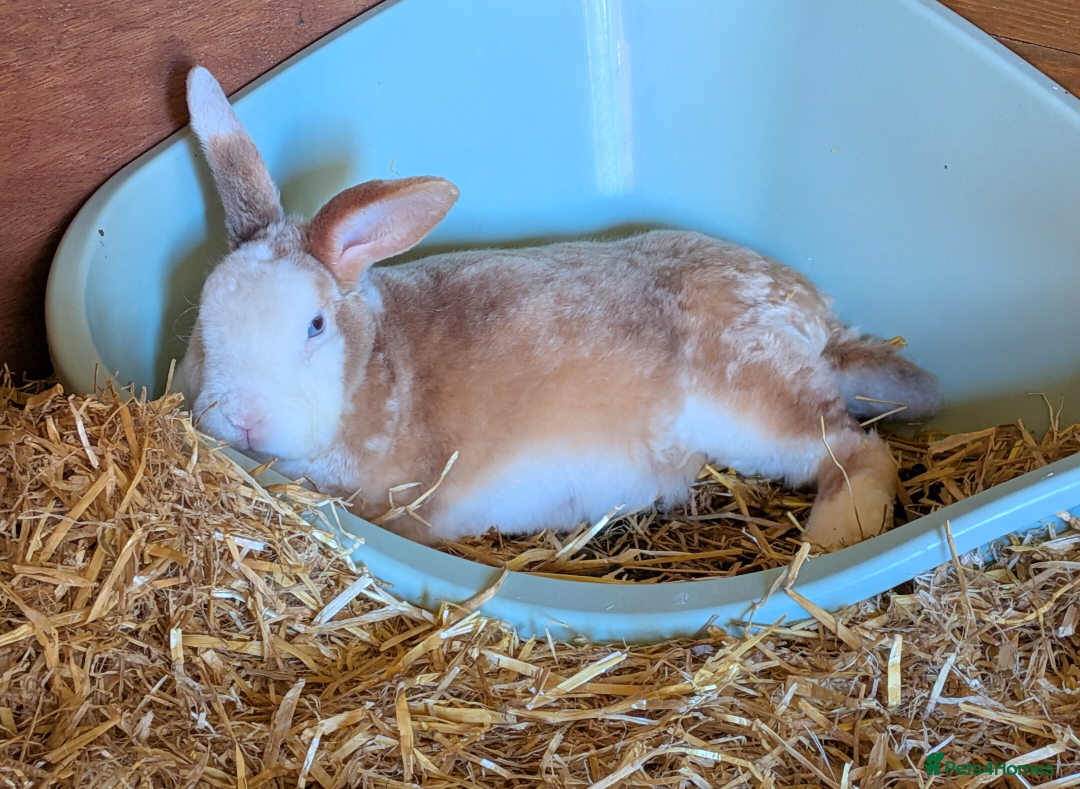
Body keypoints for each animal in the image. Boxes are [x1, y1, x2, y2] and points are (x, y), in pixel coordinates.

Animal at [179, 66, 941, 552]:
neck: (374, 371)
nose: (243, 417)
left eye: (313, 325)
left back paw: (834, 534)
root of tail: (813, 315)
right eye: (203, 317)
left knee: (859, 450)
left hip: (759, 407)